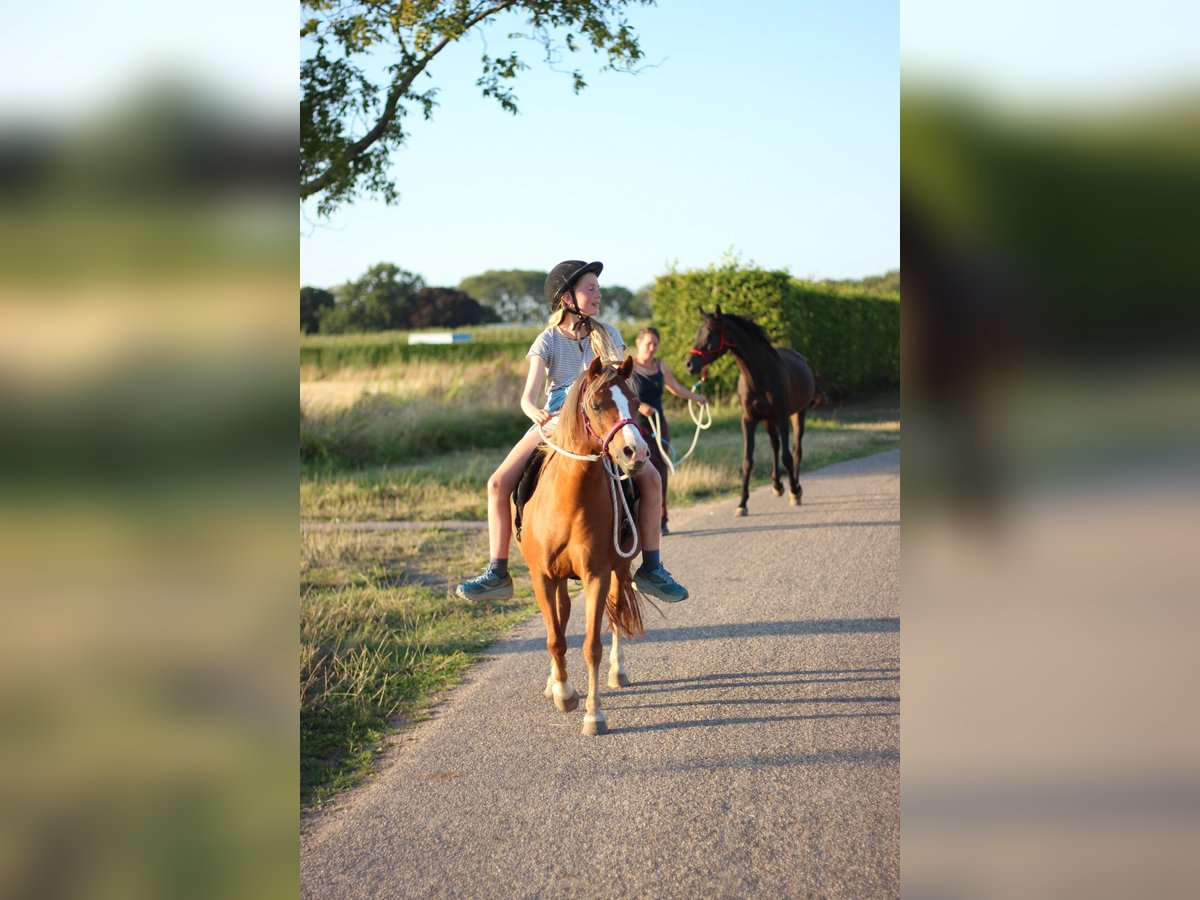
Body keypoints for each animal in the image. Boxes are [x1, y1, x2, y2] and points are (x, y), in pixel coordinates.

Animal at [513, 355, 648, 734]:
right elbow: (555, 637)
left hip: (618, 570)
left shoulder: (597, 575)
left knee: (616, 614)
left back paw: (617, 672)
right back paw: (554, 682)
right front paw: (563, 692)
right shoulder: (542, 577)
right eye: (597, 405)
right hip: (558, 579)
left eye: (635, 402)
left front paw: (593, 714)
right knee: (560, 619)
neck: (568, 501)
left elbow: (592, 646)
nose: (636, 452)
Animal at [686, 309, 816, 518]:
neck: (758, 375)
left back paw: (794, 487)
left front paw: (795, 491)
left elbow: (787, 457)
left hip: (797, 414)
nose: (689, 364)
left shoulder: (782, 417)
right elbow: (748, 460)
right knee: (775, 446)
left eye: (711, 334)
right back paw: (777, 485)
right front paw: (742, 503)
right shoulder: (748, 420)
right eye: (698, 333)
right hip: (768, 421)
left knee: (796, 450)